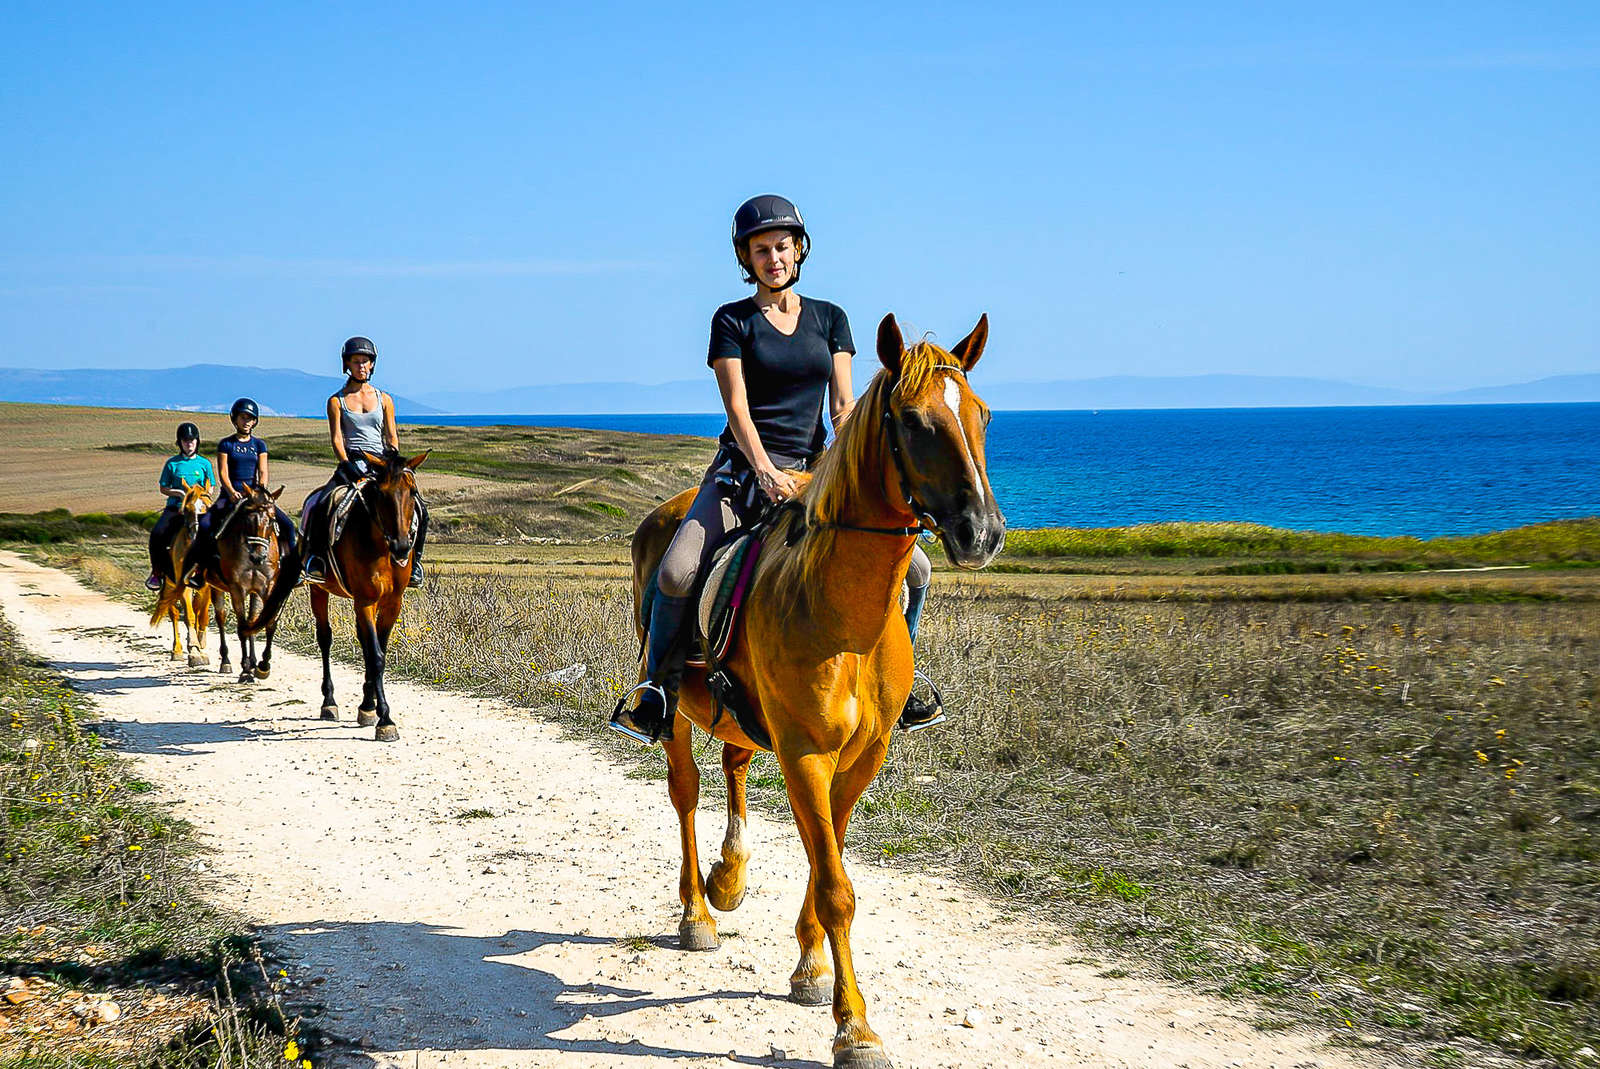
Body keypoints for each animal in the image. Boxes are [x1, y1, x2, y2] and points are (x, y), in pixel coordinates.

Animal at [148, 483, 219, 668]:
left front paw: (201, 645)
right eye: (187, 509)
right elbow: (189, 616)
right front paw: (194, 651)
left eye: (207, 507)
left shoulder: (206, 587)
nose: (197, 534)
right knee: (173, 613)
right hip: (170, 584)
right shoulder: (183, 585)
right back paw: (177, 651)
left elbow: (202, 616)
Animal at [208, 483, 299, 684]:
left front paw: (263, 666)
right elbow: (242, 627)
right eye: (247, 520)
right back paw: (225, 661)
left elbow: (267, 622)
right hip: (215, 587)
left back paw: (253, 661)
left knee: (252, 619)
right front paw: (245, 670)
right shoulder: (236, 589)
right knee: (221, 617)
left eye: (272, 520)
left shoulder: (268, 587)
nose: (258, 556)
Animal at [307, 448, 428, 739]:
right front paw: (385, 719)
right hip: (318, 589)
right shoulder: (365, 600)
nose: (402, 547)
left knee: (361, 640)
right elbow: (376, 656)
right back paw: (329, 702)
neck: (381, 547)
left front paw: (369, 707)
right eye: (381, 494)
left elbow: (377, 649)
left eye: (412, 492)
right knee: (325, 638)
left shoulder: (392, 602)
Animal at [630, 313, 1004, 1062]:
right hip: (677, 708)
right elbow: (834, 884)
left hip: (746, 717)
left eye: (981, 413)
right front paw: (855, 1027)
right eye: (913, 420)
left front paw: (809, 965)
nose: (981, 532)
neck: (842, 609)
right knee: (685, 792)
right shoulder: (805, 749)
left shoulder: (862, 755)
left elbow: (825, 853)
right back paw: (698, 911)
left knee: (735, 763)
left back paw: (729, 875)